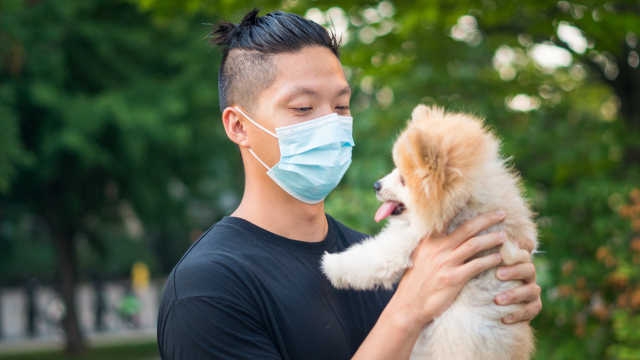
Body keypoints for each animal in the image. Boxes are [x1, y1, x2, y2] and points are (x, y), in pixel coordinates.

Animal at [322, 104, 536, 360]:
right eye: (395, 168)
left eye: (403, 179)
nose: (376, 185)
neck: (462, 205)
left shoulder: (407, 241)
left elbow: (370, 257)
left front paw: (330, 264)